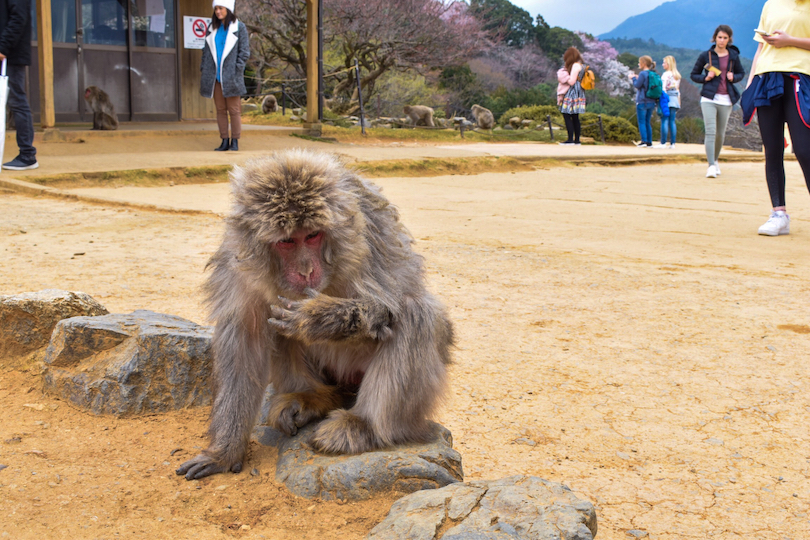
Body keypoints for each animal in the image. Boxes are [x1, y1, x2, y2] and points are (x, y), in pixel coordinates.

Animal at [176, 149, 452, 480]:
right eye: (287, 241)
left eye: (312, 236)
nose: (306, 270)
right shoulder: (237, 258)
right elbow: (245, 340)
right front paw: (224, 451)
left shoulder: (369, 237)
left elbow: (390, 307)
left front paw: (320, 318)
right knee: (274, 326)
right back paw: (312, 398)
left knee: (417, 312)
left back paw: (366, 426)